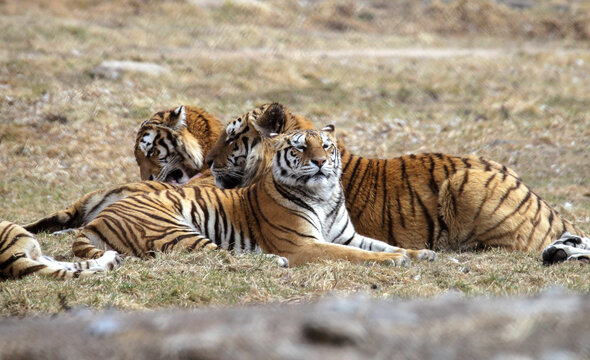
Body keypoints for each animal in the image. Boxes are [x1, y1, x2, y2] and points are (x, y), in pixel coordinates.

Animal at [71, 127, 438, 268]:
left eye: (326, 146)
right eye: (300, 147)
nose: (321, 161)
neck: (323, 196)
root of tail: (98, 218)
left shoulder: (347, 235)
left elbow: (382, 244)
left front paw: (421, 253)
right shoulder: (304, 244)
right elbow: (355, 254)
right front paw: (395, 260)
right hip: (173, 231)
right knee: (221, 258)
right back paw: (272, 261)